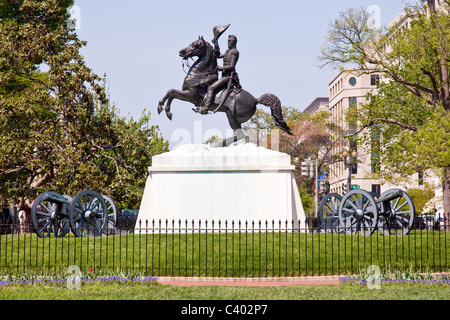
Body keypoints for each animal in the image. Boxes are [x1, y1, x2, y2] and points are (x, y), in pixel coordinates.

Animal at [156, 36, 294, 146]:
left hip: (232, 116)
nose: (181, 52)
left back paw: (217, 144)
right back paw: (218, 145)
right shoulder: (187, 95)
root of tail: (255, 99)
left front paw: (165, 110)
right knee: (238, 135)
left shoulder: (190, 96)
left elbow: (172, 92)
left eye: (195, 45)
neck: (199, 74)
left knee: (239, 135)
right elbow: (171, 92)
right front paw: (163, 108)